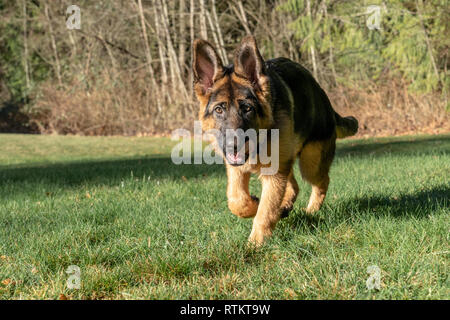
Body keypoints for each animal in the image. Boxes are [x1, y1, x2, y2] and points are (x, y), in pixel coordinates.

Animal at [192, 35, 356, 245]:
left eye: (247, 108)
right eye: (219, 109)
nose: (233, 145)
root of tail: (324, 98)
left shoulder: (273, 174)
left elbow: (265, 211)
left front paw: (254, 245)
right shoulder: (237, 169)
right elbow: (237, 200)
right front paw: (254, 205)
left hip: (310, 163)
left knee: (321, 182)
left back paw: (310, 211)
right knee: (293, 186)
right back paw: (285, 207)